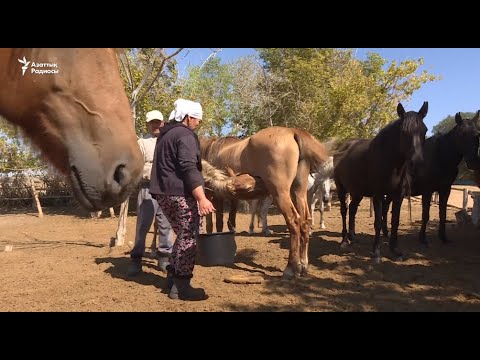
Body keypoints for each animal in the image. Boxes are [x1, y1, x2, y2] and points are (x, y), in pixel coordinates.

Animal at [199, 126, 330, 278]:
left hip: (281, 193)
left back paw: (291, 267)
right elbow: (229, 221)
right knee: (305, 222)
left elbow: (215, 223)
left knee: (294, 222)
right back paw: (303, 265)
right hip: (298, 191)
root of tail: (292, 132)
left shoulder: (215, 196)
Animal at [334, 102, 428, 262]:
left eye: (425, 131)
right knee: (344, 211)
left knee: (352, 209)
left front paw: (395, 250)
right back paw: (344, 241)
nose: (417, 164)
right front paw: (376, 253)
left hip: (357, 192)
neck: (390, 162)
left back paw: (353, 237)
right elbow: (378, 222)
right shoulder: (378, 195)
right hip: (341, 189)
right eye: (404, 132)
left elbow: (395, 222)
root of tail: (342, 147)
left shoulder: (398, 196)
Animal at [382, 109, 480, 245]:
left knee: (385, 206)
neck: (441, 156)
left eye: (478, 134)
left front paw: (443, 237)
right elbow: (425, 215)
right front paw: (423, 239)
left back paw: (385, 232)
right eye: (462, 134)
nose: (473, 162)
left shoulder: (445, 190)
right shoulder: (427, 191)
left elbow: (443, 213)